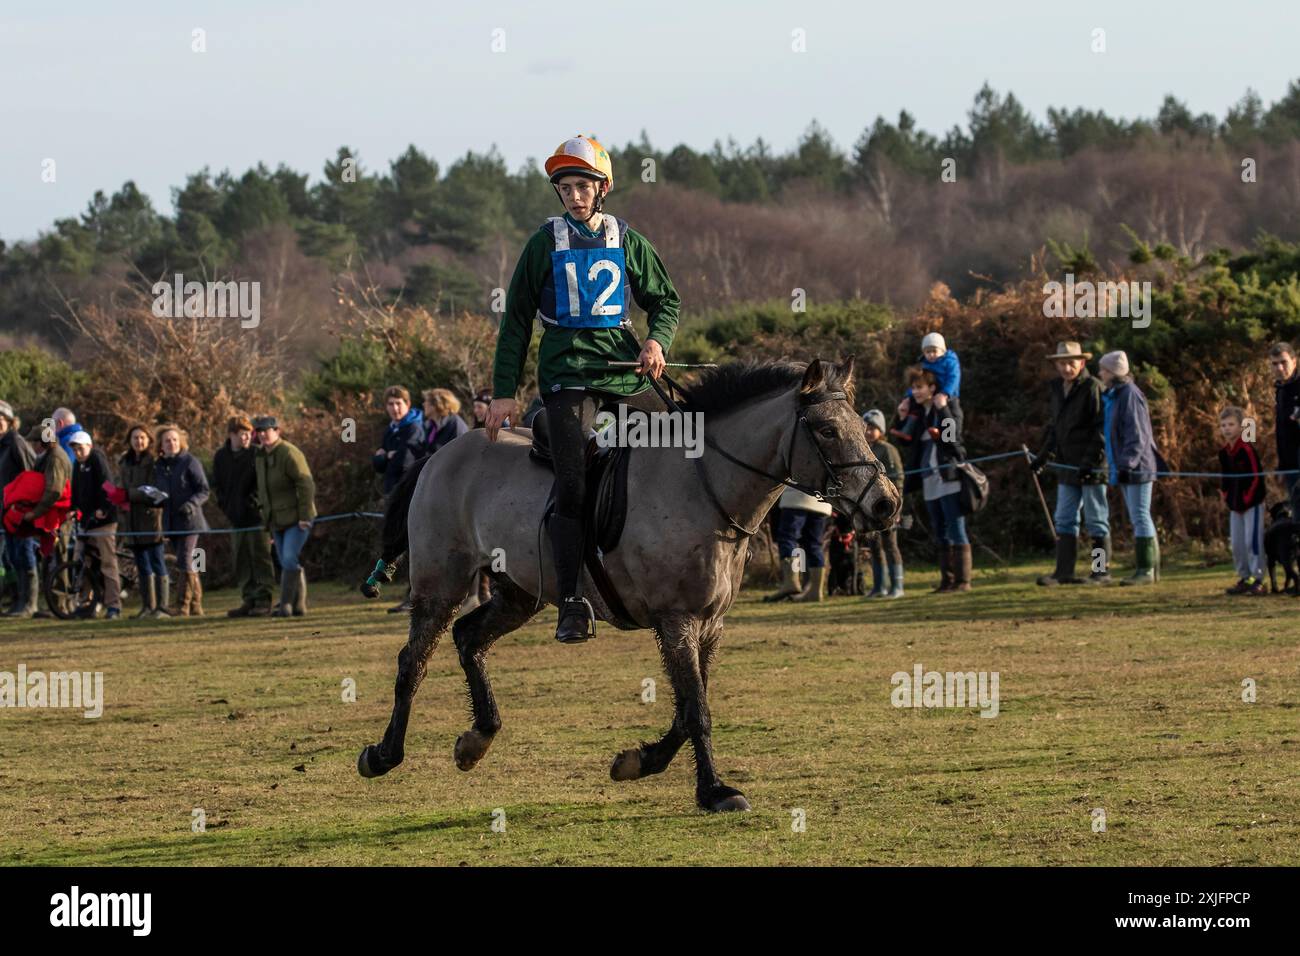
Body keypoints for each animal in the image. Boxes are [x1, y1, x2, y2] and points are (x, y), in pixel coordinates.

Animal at [356, 358, 904, 816]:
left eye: (861, 428)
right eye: (828, 430)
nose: (886, 505)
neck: (704, 487)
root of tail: (441, 453)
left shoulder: (708, 625)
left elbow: (687, 708)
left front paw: (638, 762)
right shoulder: (676, 620)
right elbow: (697, 709)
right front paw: (713, 791)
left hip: (517, 593)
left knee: (469, 639)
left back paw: (477, 739)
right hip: (440, 585)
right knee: (413, 662)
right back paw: (383, 754)